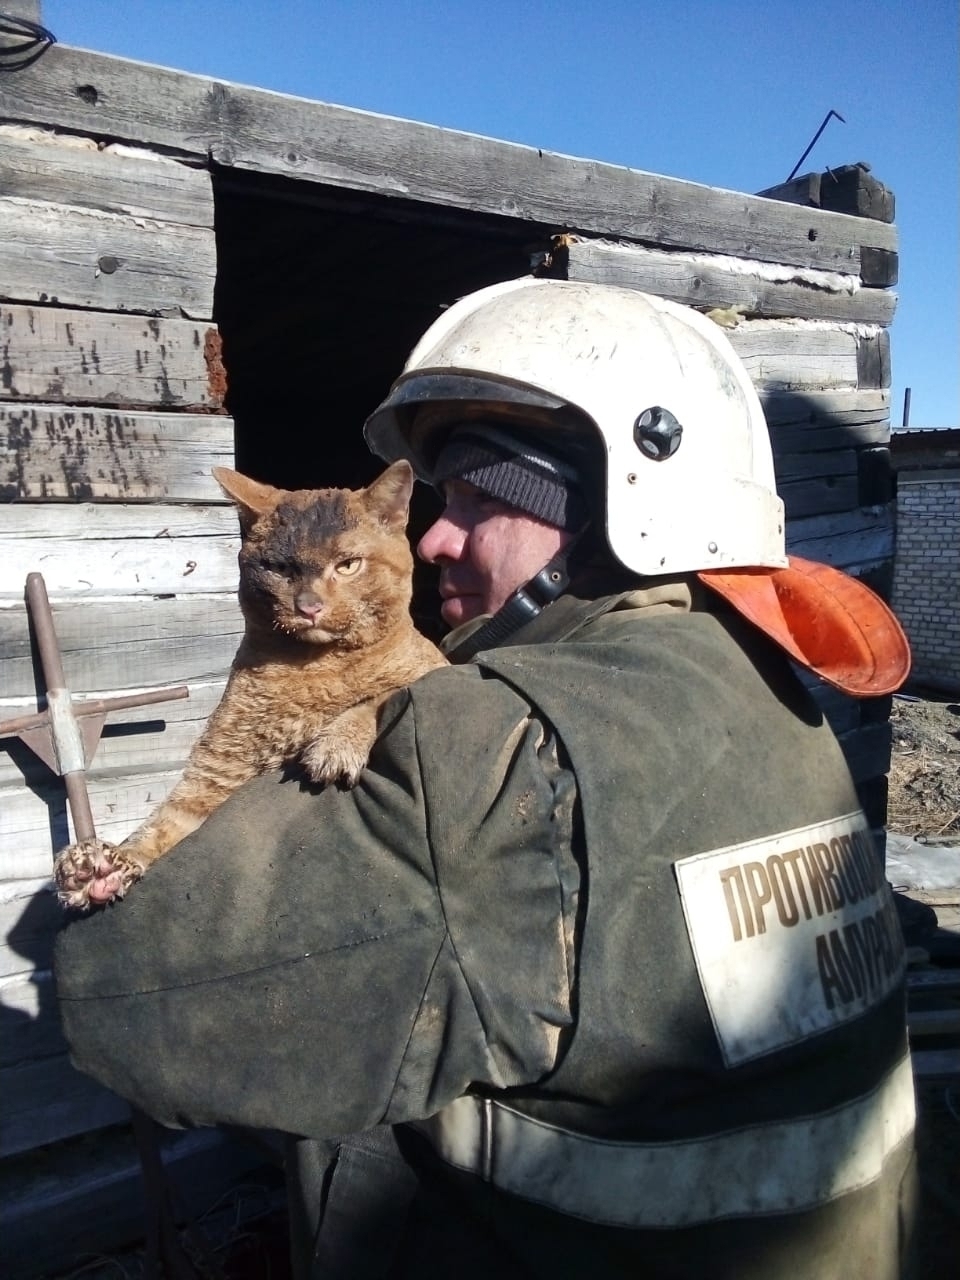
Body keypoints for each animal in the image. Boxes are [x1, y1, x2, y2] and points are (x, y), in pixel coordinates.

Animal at [54, 459, 447, 910]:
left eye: (348, 565)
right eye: (280, 568)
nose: (309, 607)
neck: (312, 669)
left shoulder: (435, 667)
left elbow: (378, 695)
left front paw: (337, 743)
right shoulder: (214, 777)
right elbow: (162, 827)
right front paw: (100, 868)